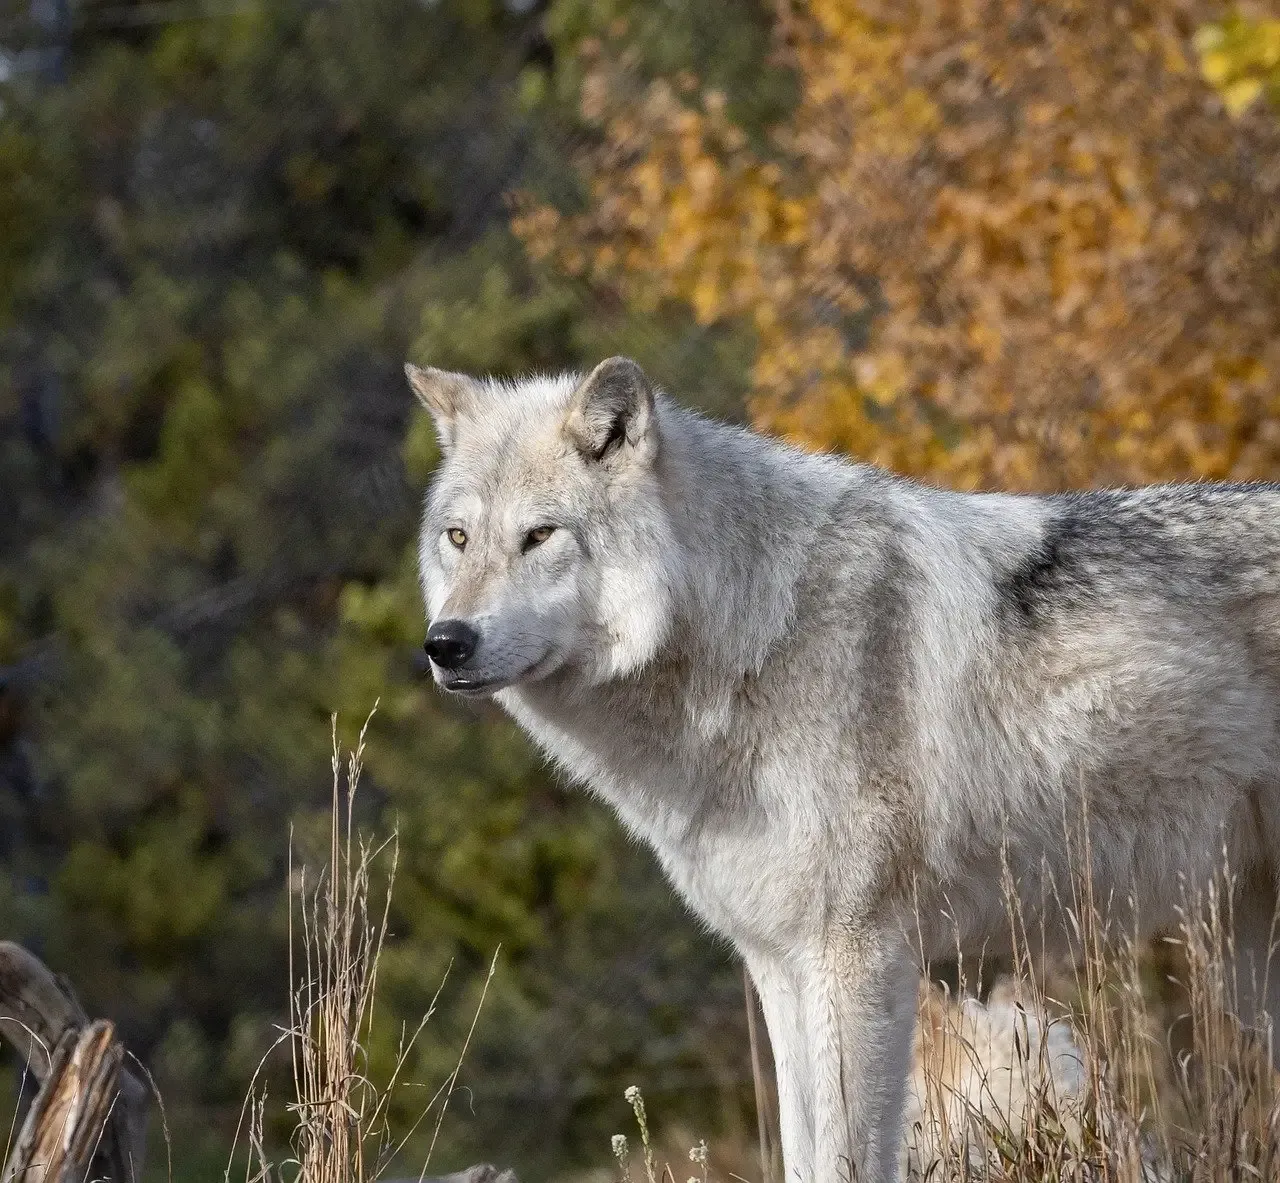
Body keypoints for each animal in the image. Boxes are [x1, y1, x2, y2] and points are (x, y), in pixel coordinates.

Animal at [407, 355, 1280, 1183]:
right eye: (458, 537)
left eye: (540, 535)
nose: (445, 643)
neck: (754, 636)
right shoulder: (782, 966)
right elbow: (802, 1152)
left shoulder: (857, 955)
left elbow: (847, 1155)